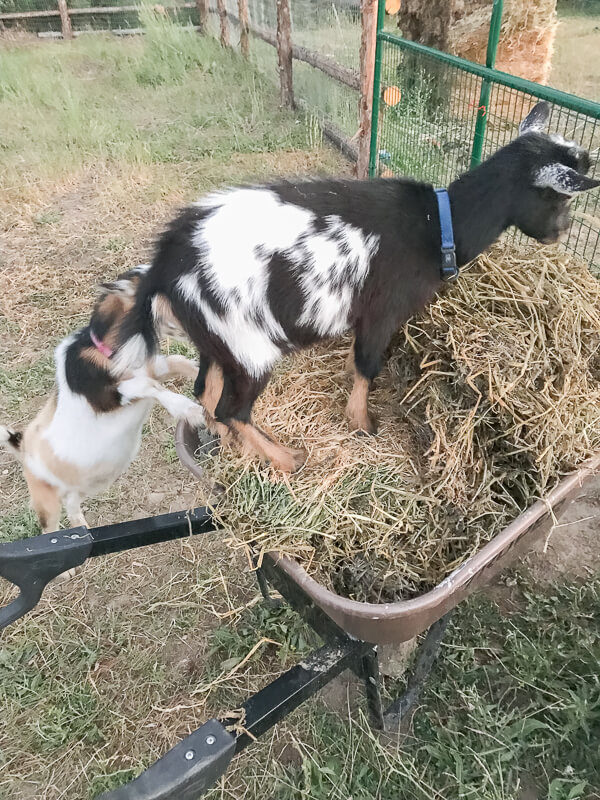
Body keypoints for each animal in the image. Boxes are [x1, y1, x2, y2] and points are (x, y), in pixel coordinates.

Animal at [1, 265, 205, 535]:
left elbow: (178, 364)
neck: (103, 349)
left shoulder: (153, 368)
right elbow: (149, 386)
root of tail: (21, 446)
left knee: (72, 504)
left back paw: (82, 529)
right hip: (44, 497)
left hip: (82, 486)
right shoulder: (108, 397)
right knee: (49, 527)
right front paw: (190, 411)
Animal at [113, 101, 600, 473]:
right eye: (558, 197)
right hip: (249, 345)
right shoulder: (383, 311)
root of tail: (165, 263)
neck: (437, 225)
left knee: (206, 394)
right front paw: (362, 423)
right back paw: (288, 459)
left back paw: (229, 446)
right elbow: (369, 366)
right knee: (231, 408)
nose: (562, 233)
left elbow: (356, 361)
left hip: (216, 342)